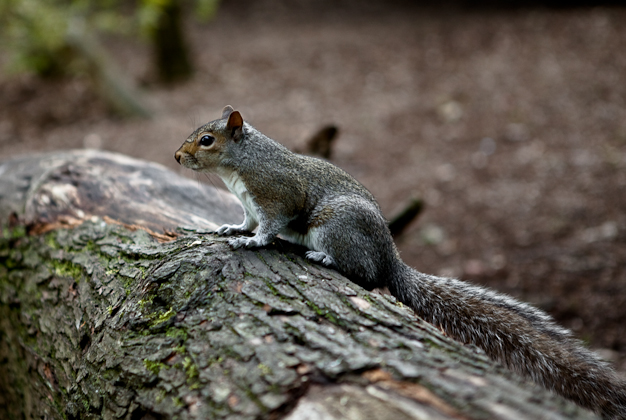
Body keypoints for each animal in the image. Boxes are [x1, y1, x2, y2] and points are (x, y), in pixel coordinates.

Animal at [174, 106, 624, 420]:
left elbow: (269, 228)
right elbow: (248, 220)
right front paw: (232, 228)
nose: (177, 156)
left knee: (366, 274)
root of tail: (391, 257)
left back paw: (324, 257)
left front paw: (252, 242)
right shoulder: (251, 205)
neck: (241, 168)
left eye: (207, 139)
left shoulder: (277, 196)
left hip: (336, 226)